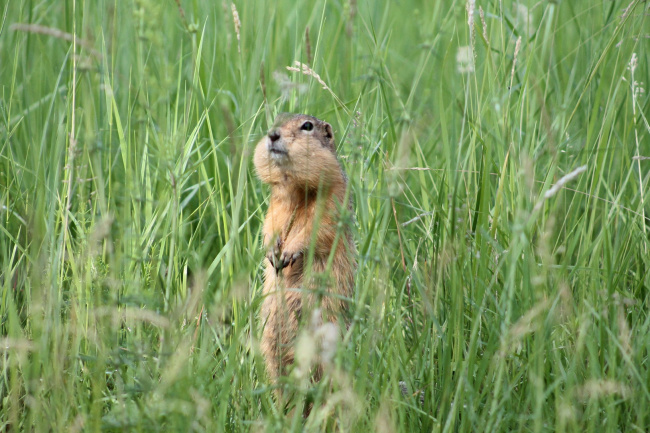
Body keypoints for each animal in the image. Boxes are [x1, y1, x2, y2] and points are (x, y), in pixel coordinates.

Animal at [253, 112, 354, 384]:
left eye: (307, 126)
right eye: (277, 118)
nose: (272, 134)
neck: (297, 188)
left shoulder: (332, 201)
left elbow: (317, 229)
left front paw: (289, 252)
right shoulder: (276, 203)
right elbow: (270, 222)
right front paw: (272, 251)